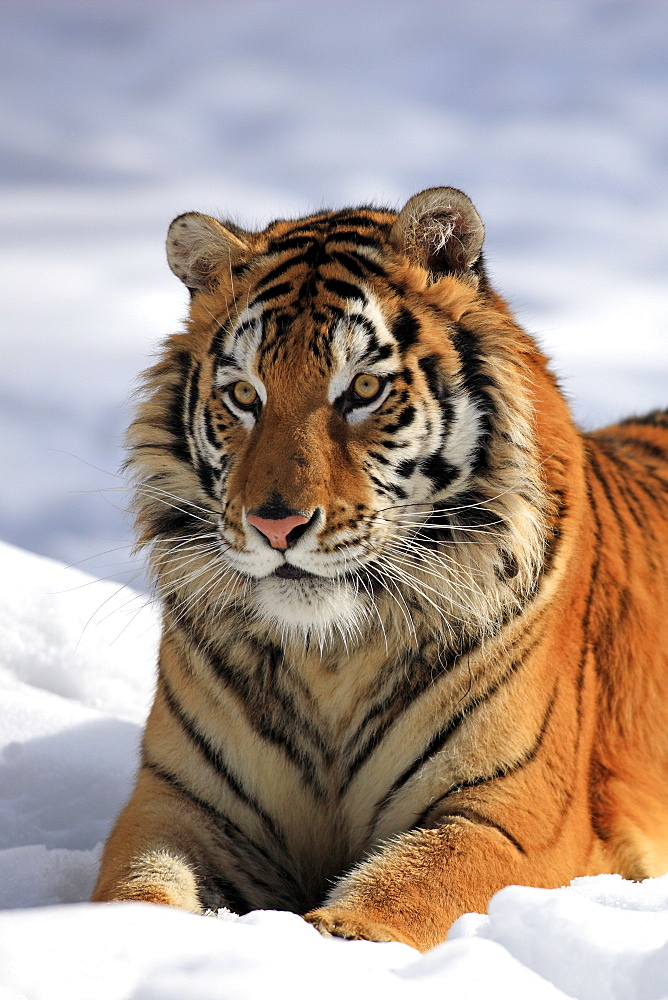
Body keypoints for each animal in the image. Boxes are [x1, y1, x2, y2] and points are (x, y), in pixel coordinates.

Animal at [92, 184, 668, 948]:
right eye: (244, 396)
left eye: (363, 389)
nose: (276, 524)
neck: (330, 659)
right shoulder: (178, 805)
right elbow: (136, 890)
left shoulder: (511, 816)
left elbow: (405, 887)